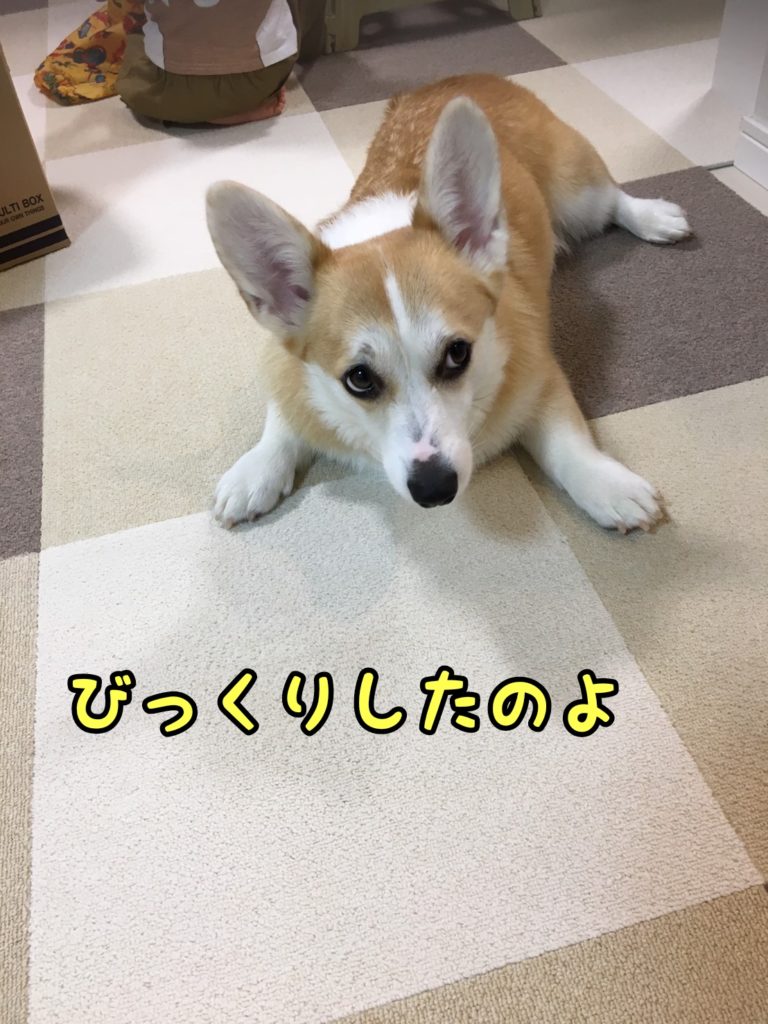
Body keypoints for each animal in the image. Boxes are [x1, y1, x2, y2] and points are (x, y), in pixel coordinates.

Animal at [206, 74, 690, 532]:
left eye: (458, 353)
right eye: (359, 379)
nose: (435, 488)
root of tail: (460, 77)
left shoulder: (540, 377)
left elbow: (568, 444)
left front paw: (609, 487)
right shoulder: (287, 368)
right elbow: (282, 418)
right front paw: (256, 470)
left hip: (576, 194)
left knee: (611, 199)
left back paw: (654, 217)